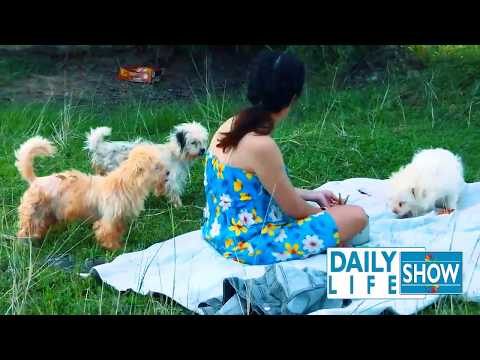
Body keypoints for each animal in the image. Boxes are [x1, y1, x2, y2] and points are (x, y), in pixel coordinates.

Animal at [14, 135, 169, 250]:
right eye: (157, 167)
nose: (168, 172)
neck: (125, 184)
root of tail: (35, 180)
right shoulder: (108, 220)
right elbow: (108, 235)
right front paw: (115, 249)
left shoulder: (120, 219)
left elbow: (118, 232)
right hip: (34, 214)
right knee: (24, 231)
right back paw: (25, 246)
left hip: (49, 214)